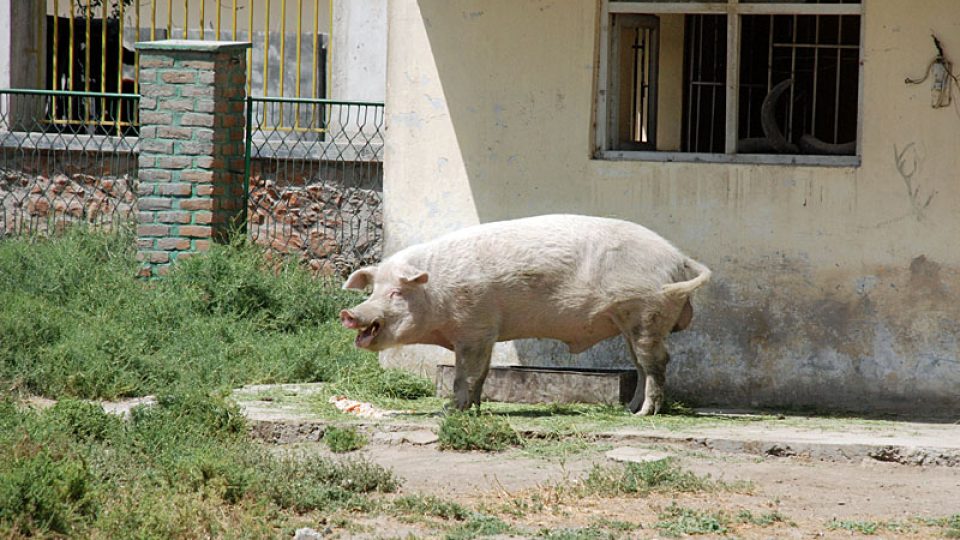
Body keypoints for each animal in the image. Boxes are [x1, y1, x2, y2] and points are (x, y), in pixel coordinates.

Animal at [342, 213, 708, 416]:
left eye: (396, 292)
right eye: (373, 290)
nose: (349, 312)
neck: (437, 293)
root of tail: (678, 258)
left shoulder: (475, 327)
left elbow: (465, 375)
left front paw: (448, 411)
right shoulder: (486, 333)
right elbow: (482, 374)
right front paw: (471, 409)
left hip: (647, 312)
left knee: (655, 363)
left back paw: (643, 414)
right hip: (632, 320)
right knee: (641, 365)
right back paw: (628, 409)